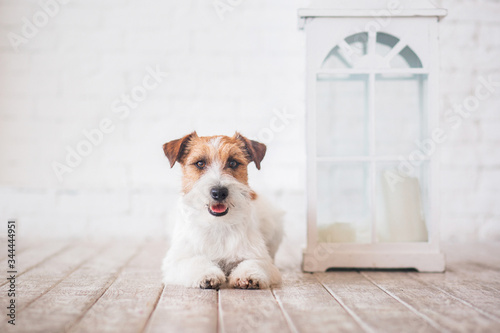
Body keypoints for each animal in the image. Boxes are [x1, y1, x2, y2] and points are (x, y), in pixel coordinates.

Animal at [162, 130, 284, 288]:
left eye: (233, 162)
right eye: (200, 163)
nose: (219, 192)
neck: (218, 223)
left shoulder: (260, 257)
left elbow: (255, 263)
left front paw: (248, 275)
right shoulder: (177, 260)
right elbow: (195, 261)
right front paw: (207, 274)